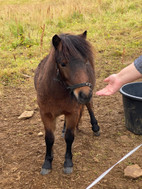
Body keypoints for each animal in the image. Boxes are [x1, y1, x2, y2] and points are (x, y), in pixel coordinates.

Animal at [34, 30, 99, 174]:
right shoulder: (46, 115)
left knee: (89, 107)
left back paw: (95, 127)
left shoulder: (73, 113)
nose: (84, 94)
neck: (55, 93)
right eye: (63, 64)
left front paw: (68, 162)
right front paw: (47, 162)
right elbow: (49, 139)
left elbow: (70, 137)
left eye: (85, 62)